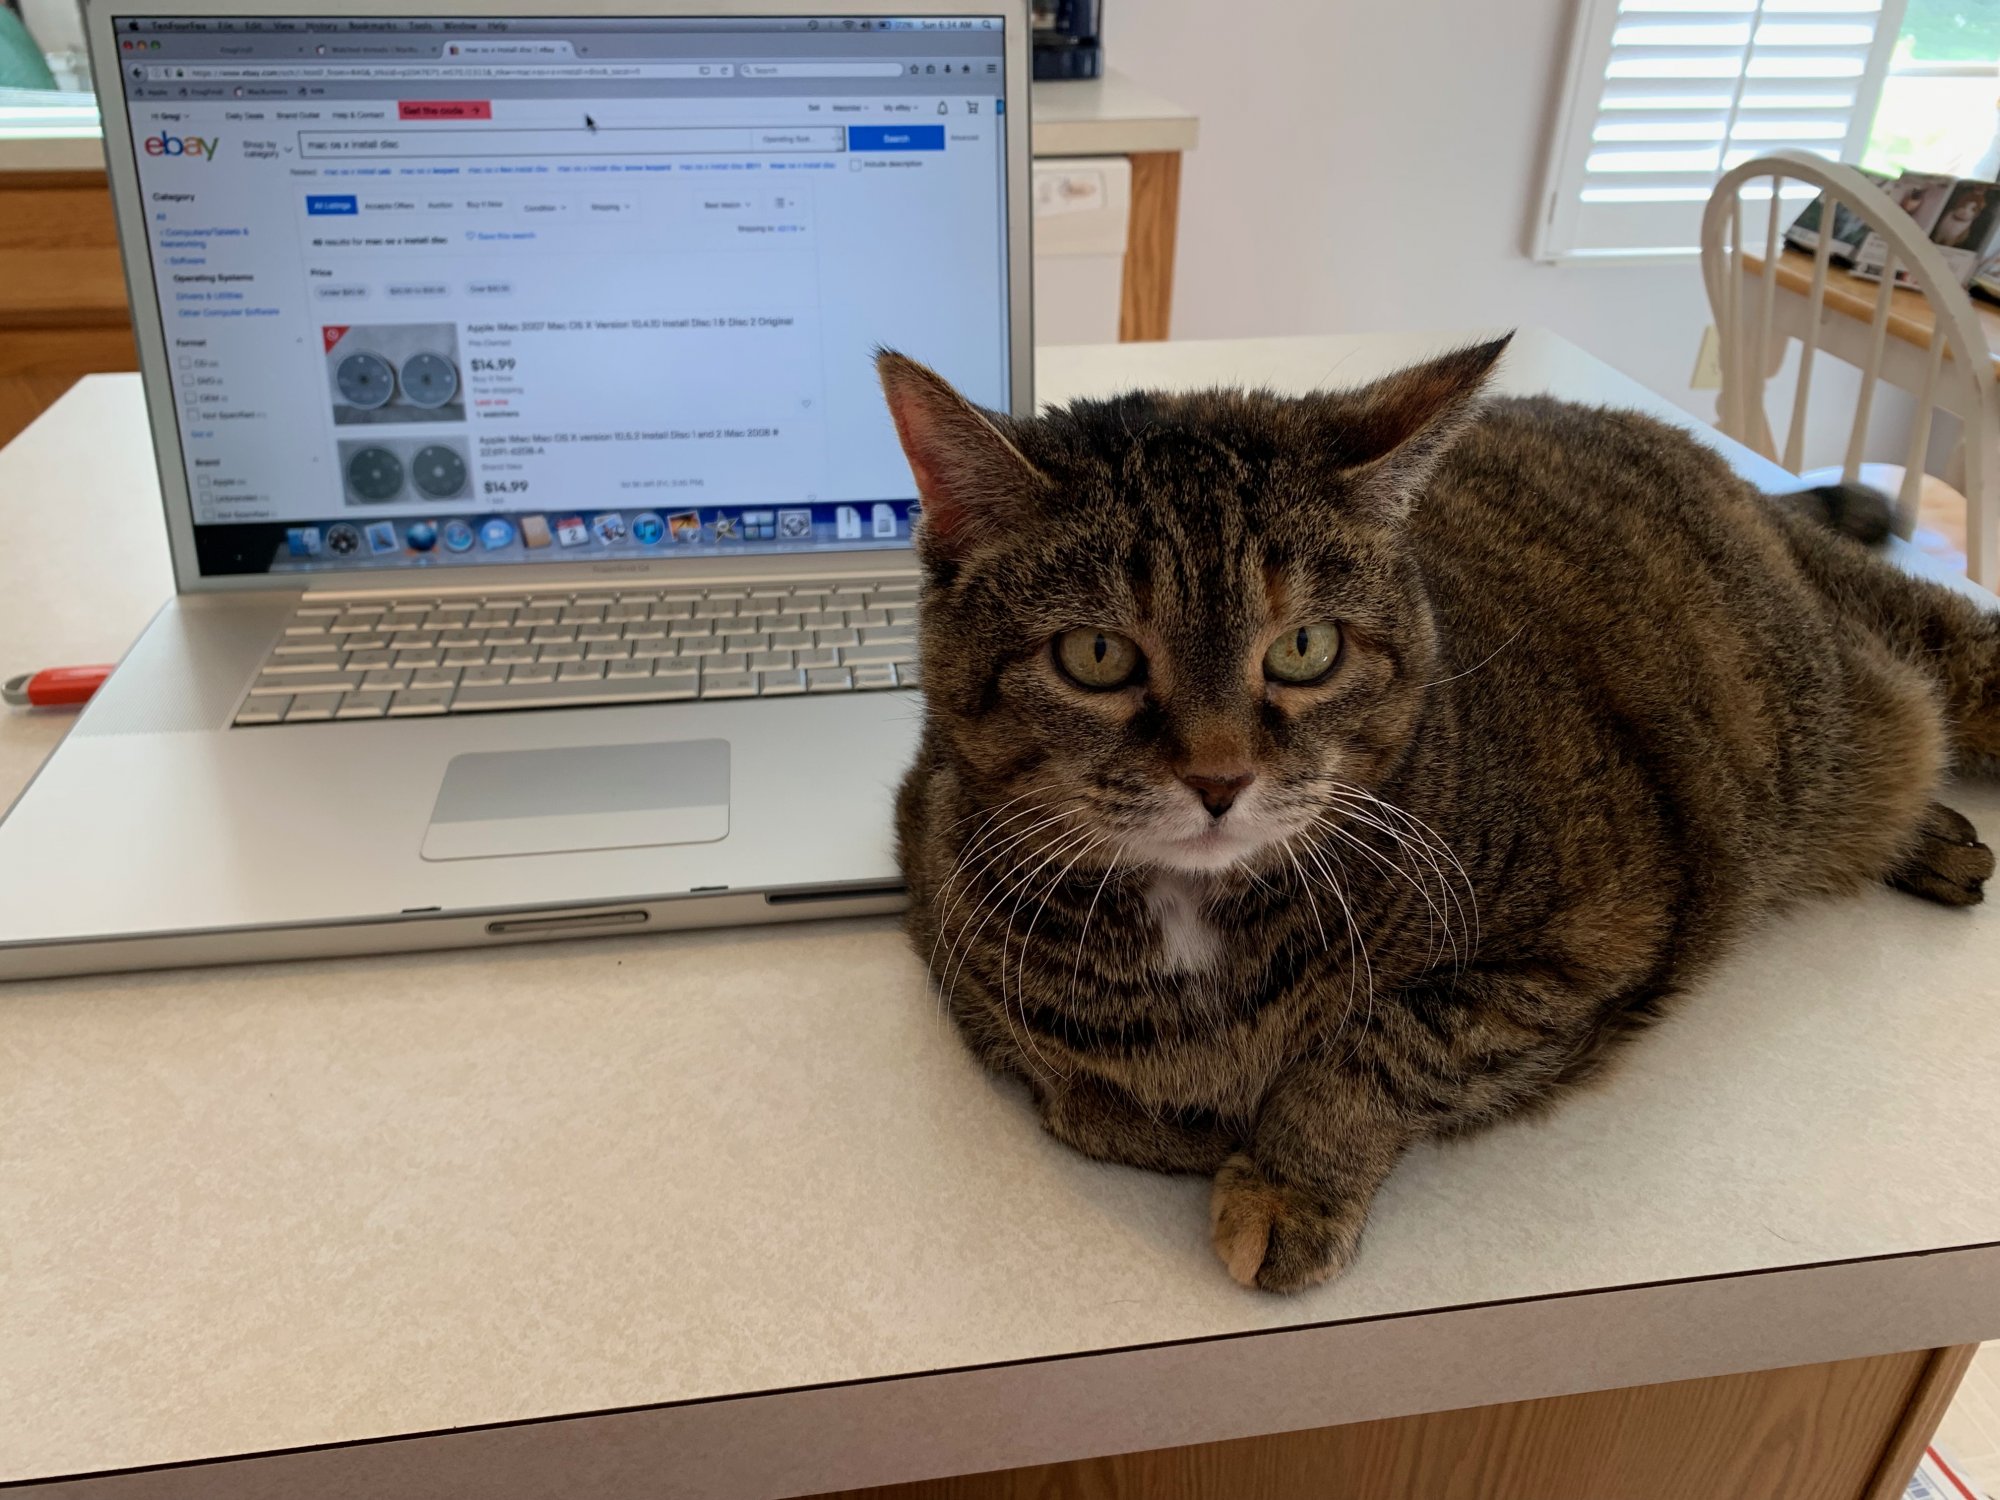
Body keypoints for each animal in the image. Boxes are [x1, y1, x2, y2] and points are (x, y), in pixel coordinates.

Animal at [880, 338, 2000, 1296]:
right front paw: (1190, 1119)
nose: (1218, 779)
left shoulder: (1600, 934)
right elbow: (1084, 1097)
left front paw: (1287, 1177)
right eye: (1097, 656)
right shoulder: (938, 907)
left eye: (1305, 649)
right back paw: (1938, 843)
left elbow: (1387, 1043)